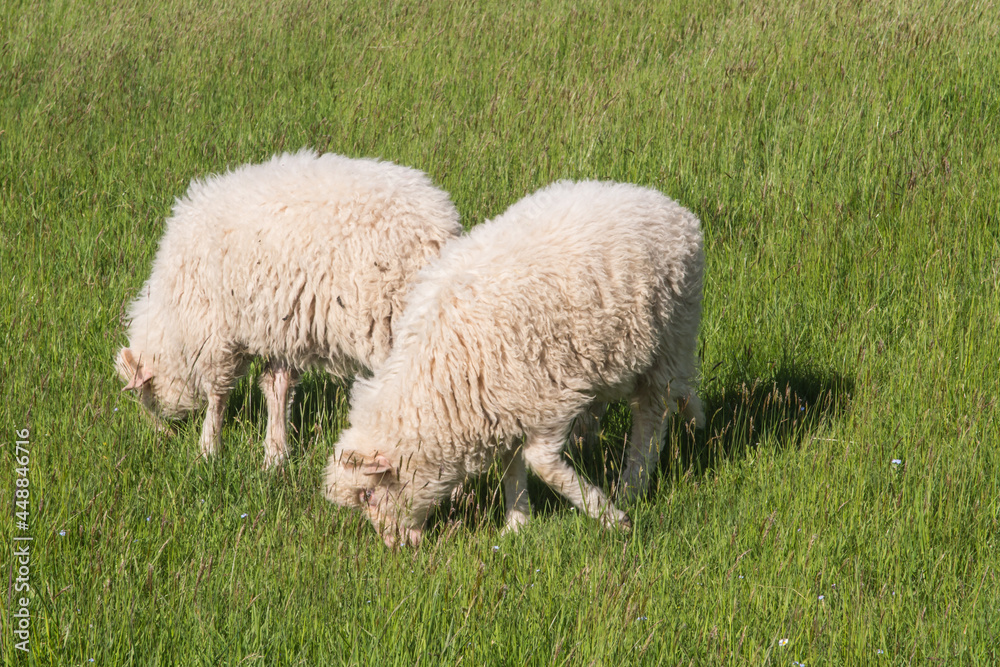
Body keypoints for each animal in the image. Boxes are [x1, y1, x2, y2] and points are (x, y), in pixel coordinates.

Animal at [116, 149, 461, 469]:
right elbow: (276, 387)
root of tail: (440, 228)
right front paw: (275, 455)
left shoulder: (213, 334)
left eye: (144, 395)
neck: (171, 320)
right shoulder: (281, 328)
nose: (161, 436)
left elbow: (217, 395)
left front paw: (208, 450)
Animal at [322, 179, 704, 547]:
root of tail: (669, 207)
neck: (439, 384)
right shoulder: (502, 404)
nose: (393, 545)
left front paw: (608, 514)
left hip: (670, 338)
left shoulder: (548, 398)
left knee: (651, 417)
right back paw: (692, 421)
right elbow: (511, 465)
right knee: (673, 392)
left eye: (369, 494)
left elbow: (541, 464)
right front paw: (517, 523)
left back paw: (632, 485)